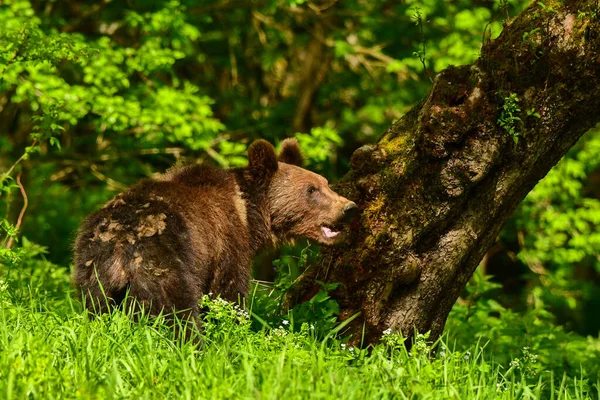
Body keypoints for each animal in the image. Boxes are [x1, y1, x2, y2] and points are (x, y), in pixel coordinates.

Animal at [74, 139, 356, 330]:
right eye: (311, 190)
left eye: (325, 183)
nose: (349, 208)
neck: (250, 215)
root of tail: (122, 241)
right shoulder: (228, 245)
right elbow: (229, 294)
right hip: (164, 262)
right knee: (178, 314)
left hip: (93, 269)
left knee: (96, 311)